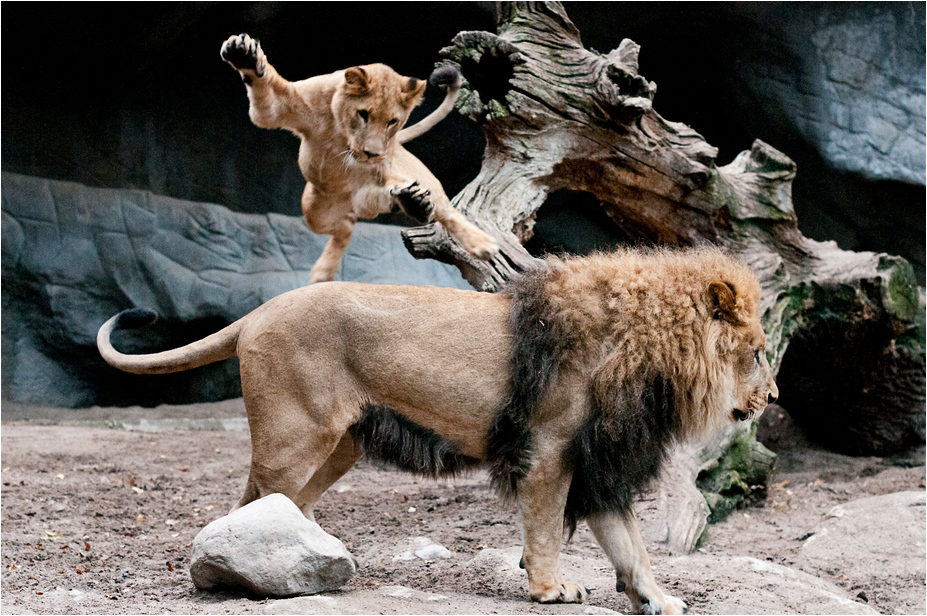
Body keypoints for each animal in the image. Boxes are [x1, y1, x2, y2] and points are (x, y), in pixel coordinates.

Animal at [97, 248, 777, 614]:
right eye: (758, 352)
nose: (772, 397)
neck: (646, 351)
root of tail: (258, 311)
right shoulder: (550, 450)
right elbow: (546, 529)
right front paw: (550, 588)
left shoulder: (597, 464)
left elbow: (630, 546)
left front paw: (657, 598)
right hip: (295, 437)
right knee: (250, 505)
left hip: (341, 444)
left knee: (286, 503)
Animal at [220, 33, 498, 283]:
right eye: (364, 114)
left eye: (392, 121)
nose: (372, 153)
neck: (342, 132)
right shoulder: (281, 106)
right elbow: (266, 95)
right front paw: (245, 55)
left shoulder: (377, 172)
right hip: (315, 210)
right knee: (346, 225)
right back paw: (323, 273)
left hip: (400, 185)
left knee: (441, 211)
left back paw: (476, 240)